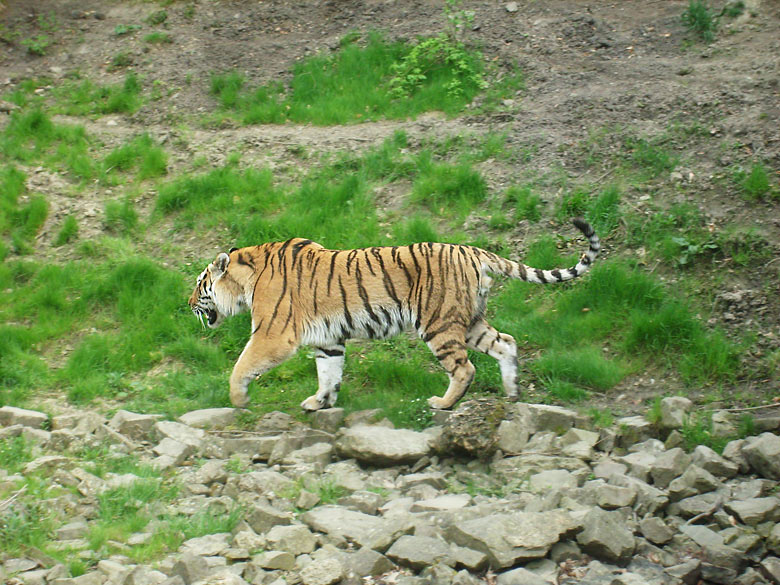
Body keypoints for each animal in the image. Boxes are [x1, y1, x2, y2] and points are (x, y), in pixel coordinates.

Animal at [189, 218, 604, 410]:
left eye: (199, 282)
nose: (188, 303)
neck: (246, 280)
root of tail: (473, 250)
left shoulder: (273, 334)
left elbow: (242, 365)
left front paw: (238, 399)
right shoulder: (329, 340)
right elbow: (328, 373)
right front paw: (320, 403)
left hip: (439, 324)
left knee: (465, 368)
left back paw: (442, 403)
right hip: (470, 321)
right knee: (507, 343)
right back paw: (513, 391)